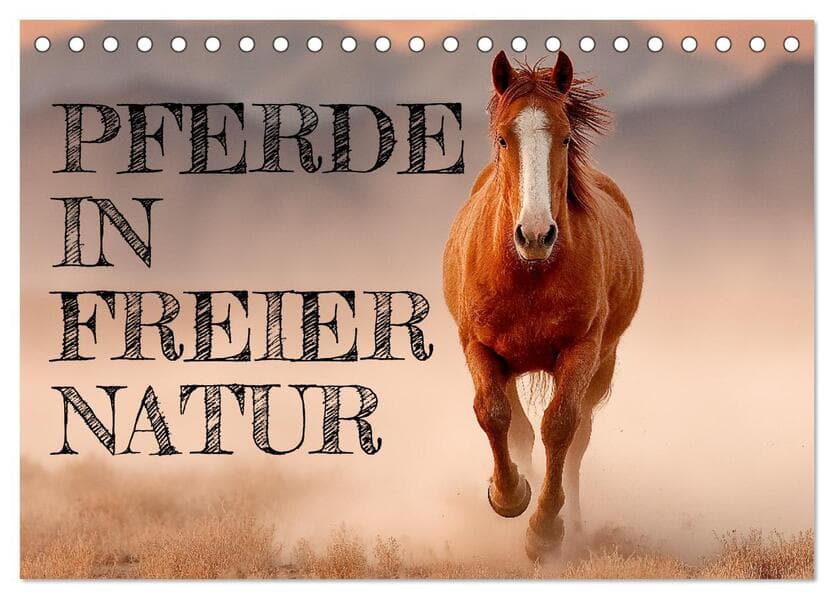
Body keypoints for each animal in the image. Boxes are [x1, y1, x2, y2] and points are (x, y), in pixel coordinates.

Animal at [442, 50, 643, 561]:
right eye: (502, 137)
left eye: (566, 136)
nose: (535, 235)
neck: (529, 273)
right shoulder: (479, 347)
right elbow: (495, 415)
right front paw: (508, 495)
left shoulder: (582, 351)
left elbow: (560, 428)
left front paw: (545, 530)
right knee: (518, 429)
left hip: (603, 363)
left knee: (577, 440)